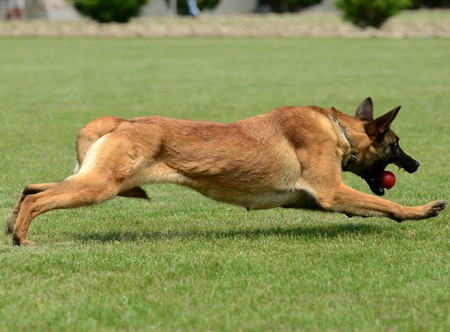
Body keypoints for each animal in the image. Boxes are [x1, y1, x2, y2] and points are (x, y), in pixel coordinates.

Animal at [4, 97, 446, 245]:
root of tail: (122, 121)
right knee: (40, 198)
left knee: (31, 187)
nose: (416, 164)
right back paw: (23, 239)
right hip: (99, 186)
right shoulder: (332, 192)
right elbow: (386, 205)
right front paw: (422, 210)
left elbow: (370, 205)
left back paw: (11, 225)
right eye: (396, 144)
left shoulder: (311, 199)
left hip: (94, 179)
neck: (337, 129)